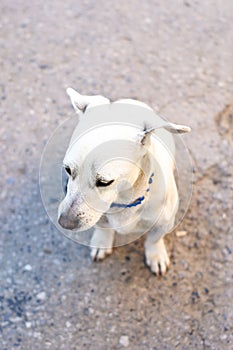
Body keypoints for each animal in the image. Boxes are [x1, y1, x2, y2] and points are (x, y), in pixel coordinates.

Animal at [57, 88, 190, 276]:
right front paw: (102, 242)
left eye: (105, 182)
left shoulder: (163, 224)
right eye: (68, 170)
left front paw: (155, 255)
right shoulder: (101, 218)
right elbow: (102, 228)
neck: (123, 199)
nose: (64, 223)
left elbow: (154, 240)